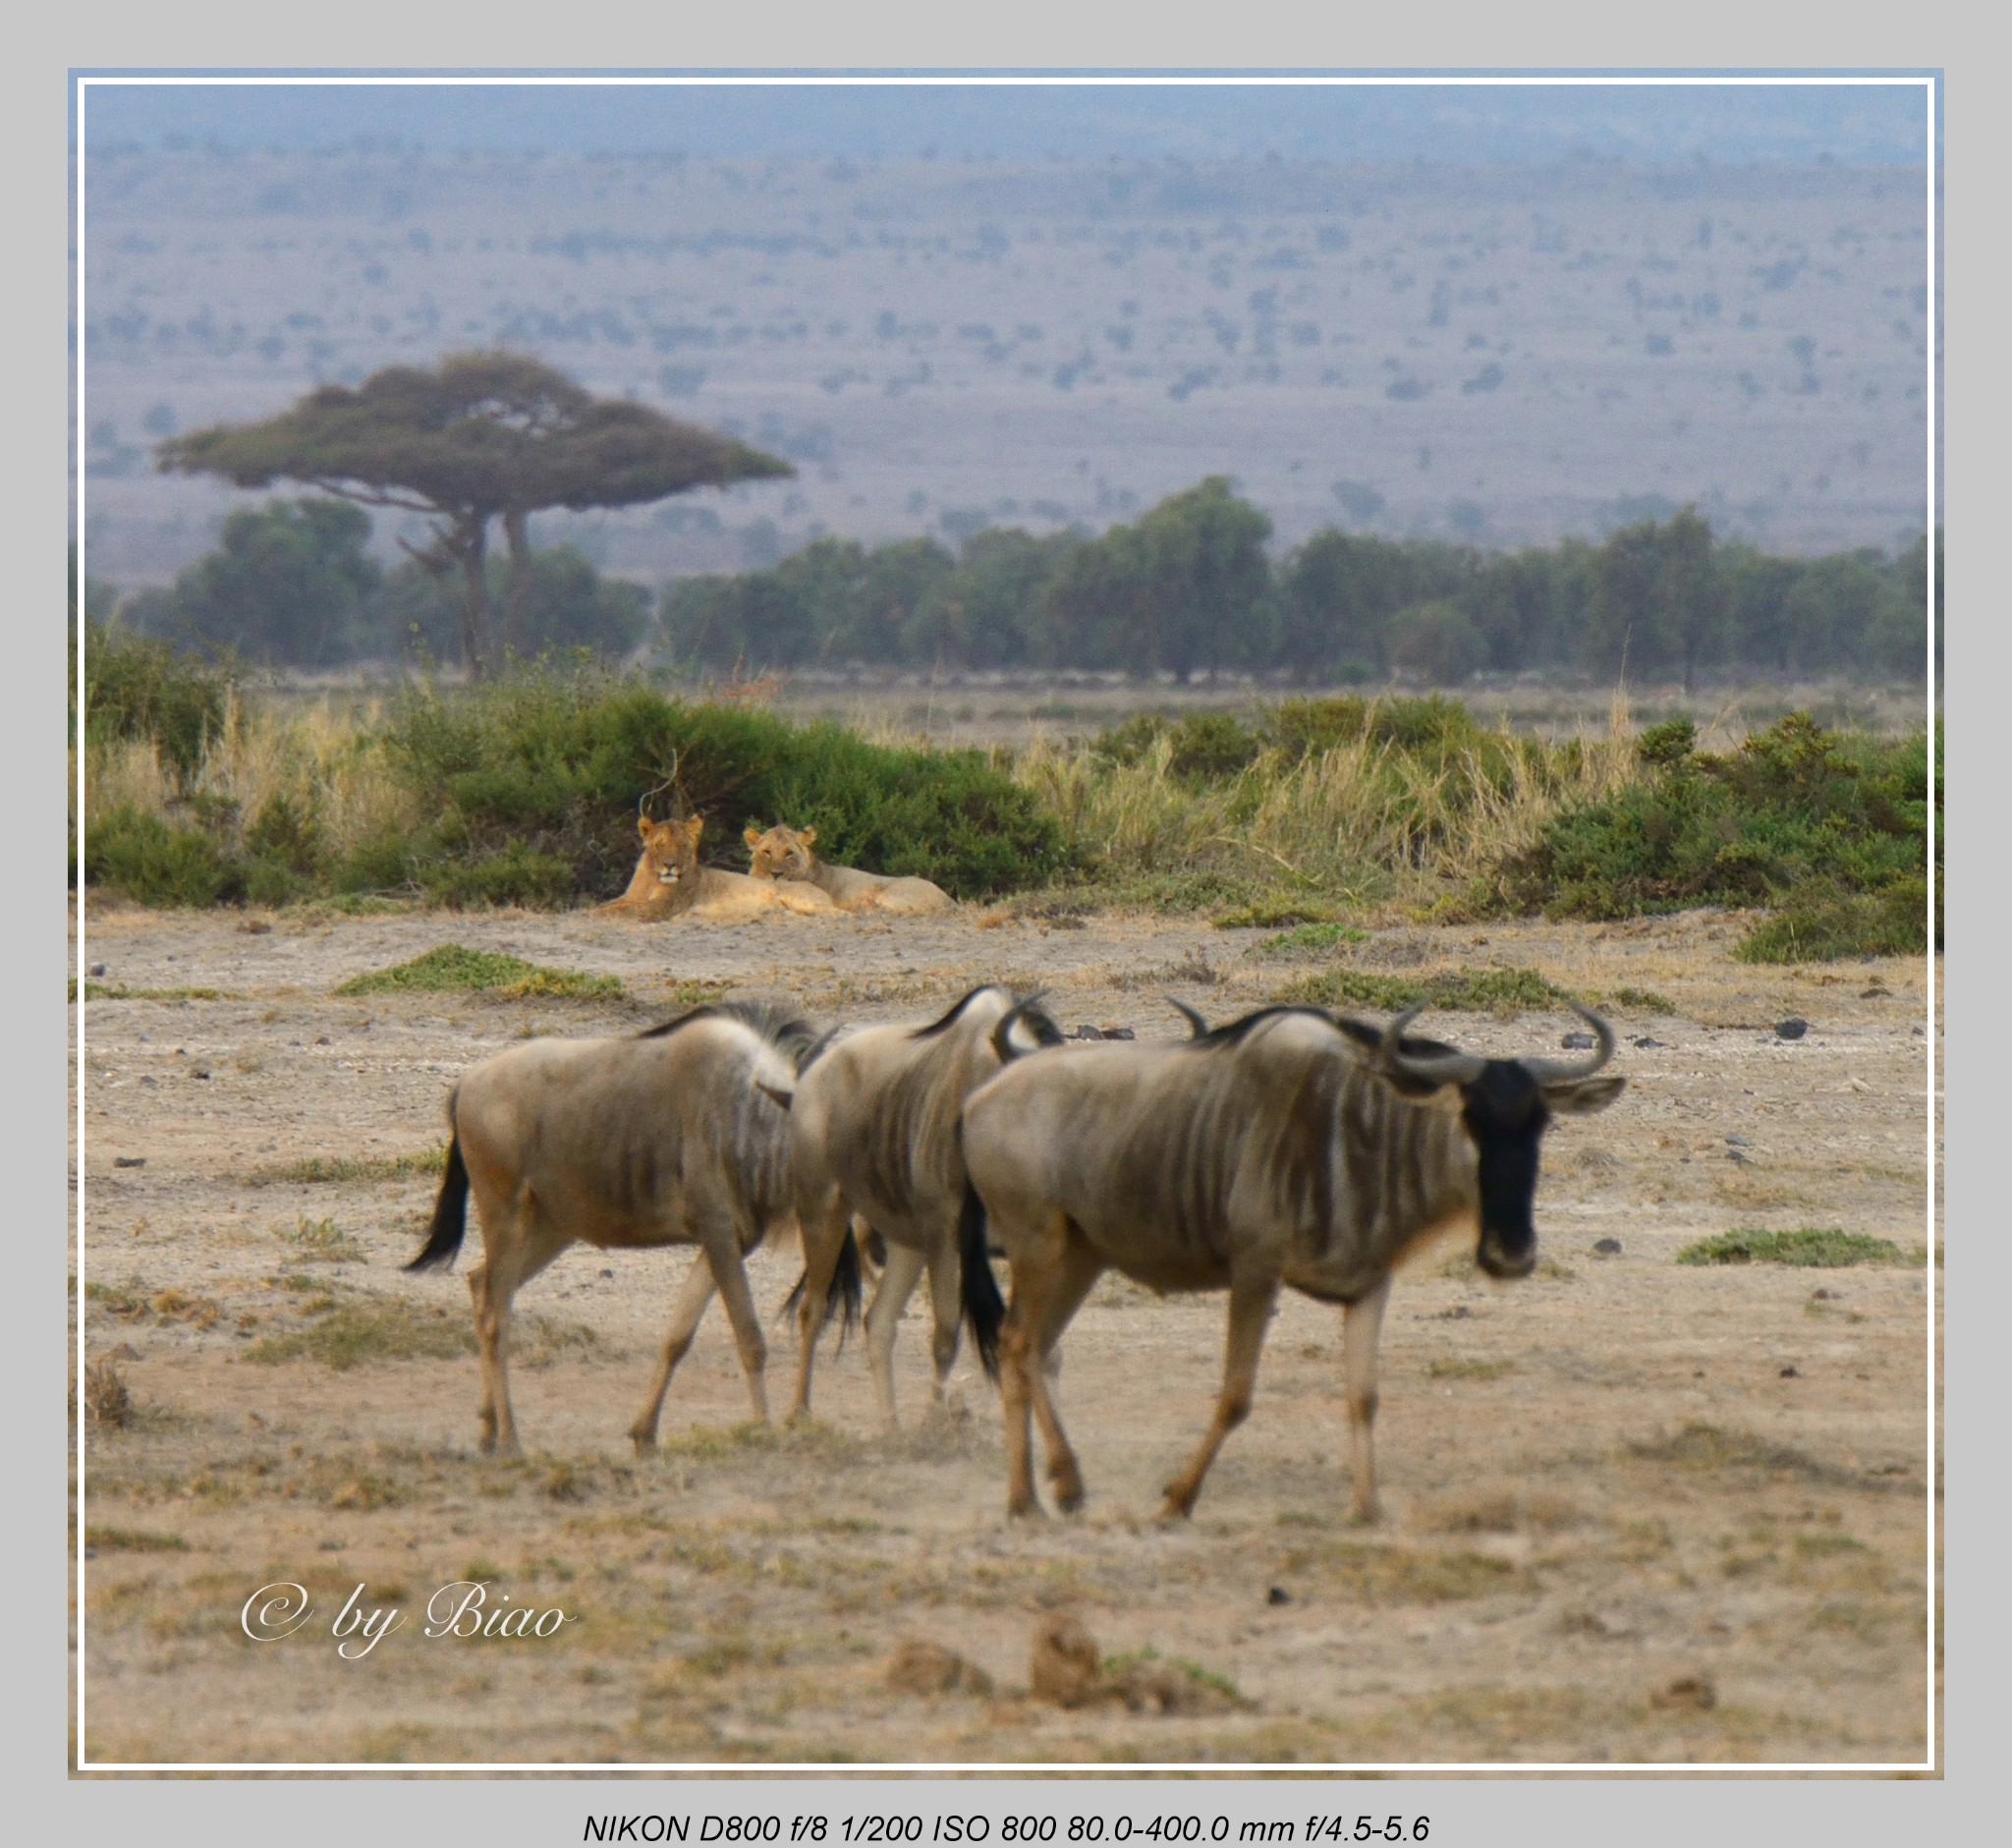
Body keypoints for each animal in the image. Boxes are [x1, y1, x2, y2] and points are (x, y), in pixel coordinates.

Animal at [599, 816, 845, 925]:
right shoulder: (630, 896)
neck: (652, 877)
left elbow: (620, 911)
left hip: (801, 899)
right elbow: (607, 906)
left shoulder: (663, 907)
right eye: (660, 845)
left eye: (683, 846)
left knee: (839, 913)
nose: (670, 865)